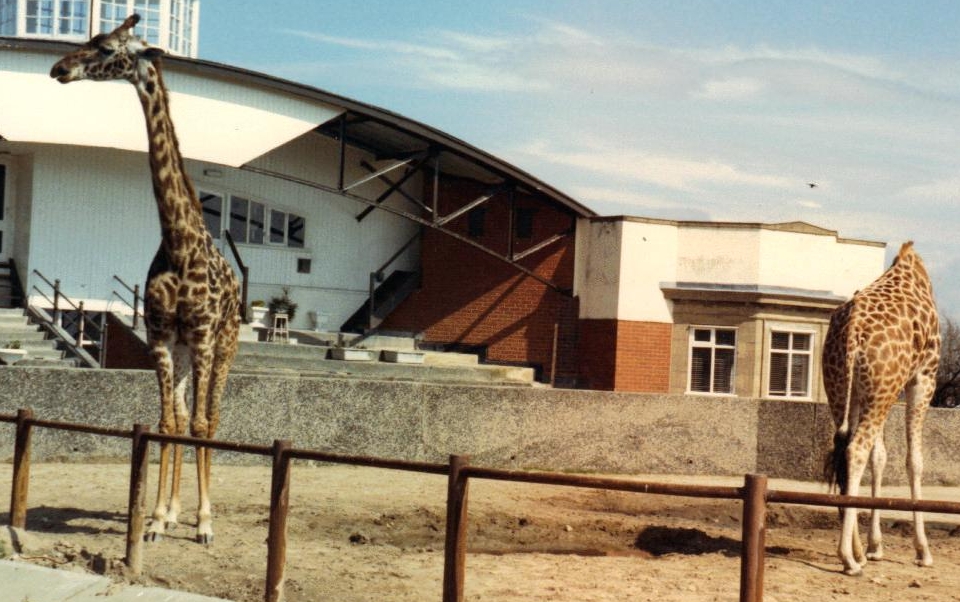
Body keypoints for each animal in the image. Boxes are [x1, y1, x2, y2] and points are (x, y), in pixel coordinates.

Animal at [50, 14, 241, 544]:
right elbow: (166, 421)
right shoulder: (160, 336)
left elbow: (198, 424)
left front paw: (204, 522)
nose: (59, 68)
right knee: (181, 412)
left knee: (212, 416)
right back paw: (173, 512)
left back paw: (200, 514)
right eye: (91, 38)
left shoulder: (202, 337)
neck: (176, 239)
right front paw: (156, 519)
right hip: (183, 352)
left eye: (107, 47)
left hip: (224, 346)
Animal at [822, 241, 940, 576]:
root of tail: (852, 330)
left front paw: (875, 546)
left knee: (845, 450)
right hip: (883, 390)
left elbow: (881, 458)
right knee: (856, 450)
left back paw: (857, 552)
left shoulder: (874, 391)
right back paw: (848, 558)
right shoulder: (923, 377)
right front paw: (922, 551)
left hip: (843, 388)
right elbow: (914, 461)